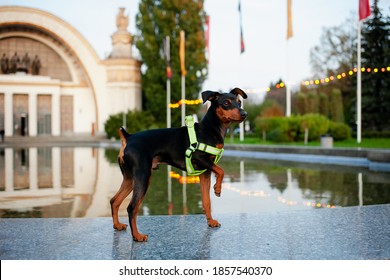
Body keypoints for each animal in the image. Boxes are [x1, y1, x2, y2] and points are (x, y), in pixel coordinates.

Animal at [109, 87, 247, 241]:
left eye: (239, 102)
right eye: (226, 103)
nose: (244, 114)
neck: (210, 129)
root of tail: (128, 137)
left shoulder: (205, 172)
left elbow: (206, 201)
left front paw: (210, 221)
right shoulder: (201, 159)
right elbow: (221, 170)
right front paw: (217, 188)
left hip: (130, 179)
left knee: (114, 200)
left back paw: (118, 225)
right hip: (143, 176)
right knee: (131, 207)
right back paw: (137, 236)